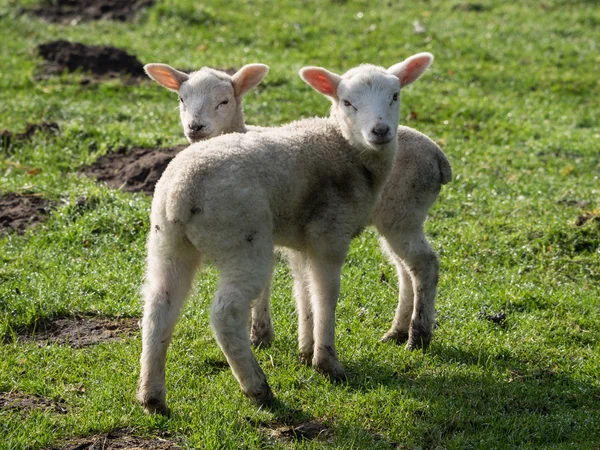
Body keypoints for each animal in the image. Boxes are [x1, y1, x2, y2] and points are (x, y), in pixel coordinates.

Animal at [138, 52, 434, 412]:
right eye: (347, 102)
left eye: (395, 96)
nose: (380, 130)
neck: (344, 147)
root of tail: (182, 192)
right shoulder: (329, 235)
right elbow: (325, 296)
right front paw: (326, 362)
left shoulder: (302, 240)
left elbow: (304, 293)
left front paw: (306, 351)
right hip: (243, 240)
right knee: (226, 314)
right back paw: (258, 388)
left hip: (167, 241)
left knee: (158, 307)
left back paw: (153, 396)